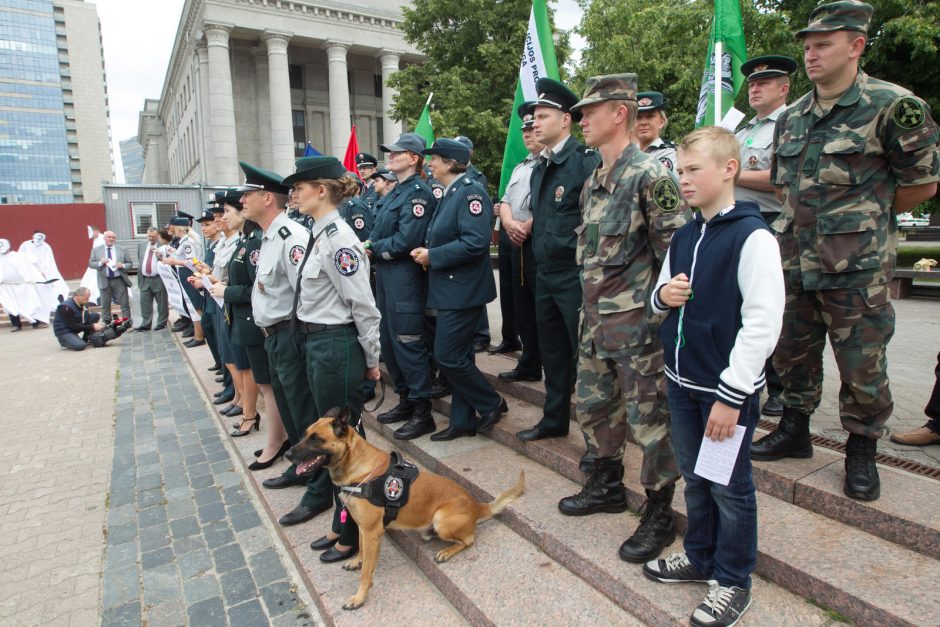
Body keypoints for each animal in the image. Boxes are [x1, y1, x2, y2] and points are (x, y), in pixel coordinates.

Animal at [286, 408, 524, 608]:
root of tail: (475, 504)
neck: (357, 468)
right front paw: (357, 560)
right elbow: (361, 548)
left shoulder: (373, 531)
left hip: (441, 520)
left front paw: (359, 597)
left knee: (468, 540)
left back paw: (446, 552)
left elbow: (366, 573)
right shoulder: (363, 528)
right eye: (305, 434)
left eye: (316, 439)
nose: (287, 454)